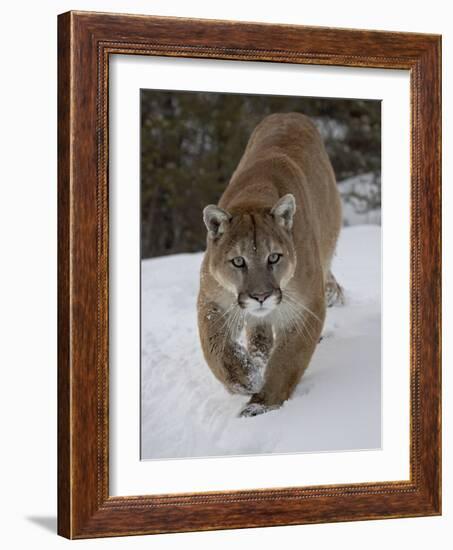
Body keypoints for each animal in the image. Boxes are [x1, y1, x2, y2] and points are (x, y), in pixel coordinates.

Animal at [196, 114, 340, 420]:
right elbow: (216, 350)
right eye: (238, 261)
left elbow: (287, 359)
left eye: (273, 257)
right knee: (259, 334)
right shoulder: (213, 299)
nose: (260, 296)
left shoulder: (305, 306)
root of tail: (290, 114)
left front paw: (261, 404)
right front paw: (246, 378)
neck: (254, 196)